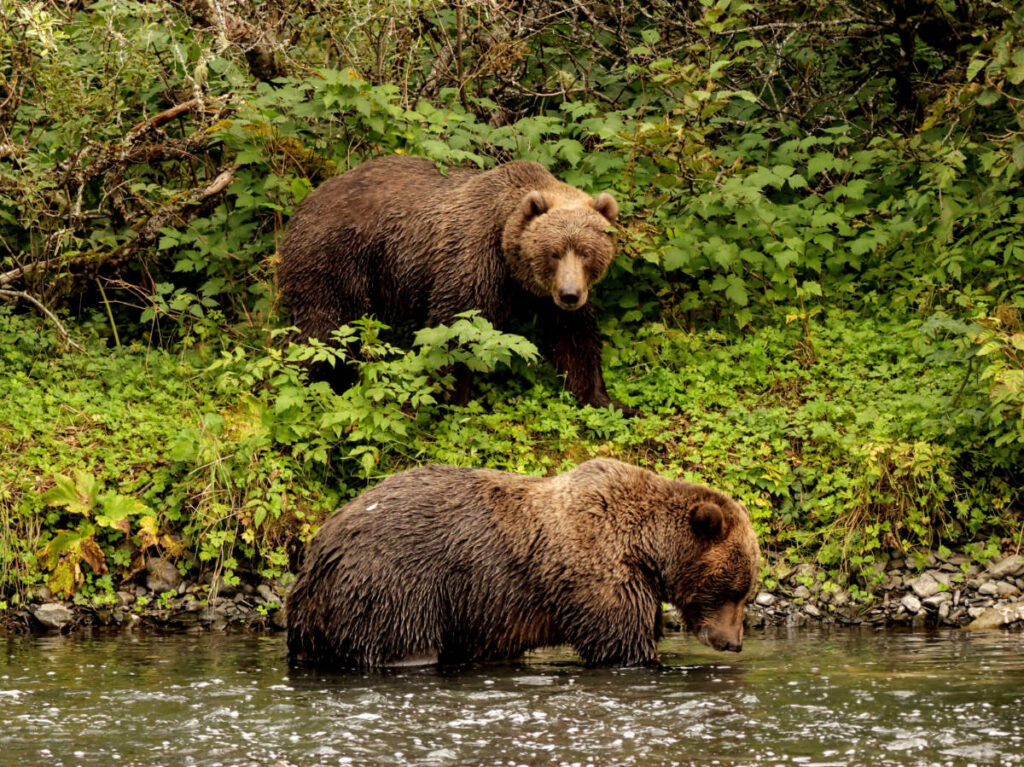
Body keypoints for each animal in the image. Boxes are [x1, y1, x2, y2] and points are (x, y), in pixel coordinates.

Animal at [276, 155, 630, 412]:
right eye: (554, 252)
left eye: (586, 252)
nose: (570, 294)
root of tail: (301, 206)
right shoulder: (473, 258)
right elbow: (453, 329)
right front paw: (450, 401)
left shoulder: (545, 296)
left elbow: (576, 340)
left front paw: (606, 400)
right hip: (336, 257)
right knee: (324, 329)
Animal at [286, 459, 760, 669]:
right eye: (734, 589)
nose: (734, 642)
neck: (644, 549)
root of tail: (319, 549)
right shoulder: (601, 576)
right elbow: (621, 643)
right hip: (394, 586)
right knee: (402, 643)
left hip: (322, 609)